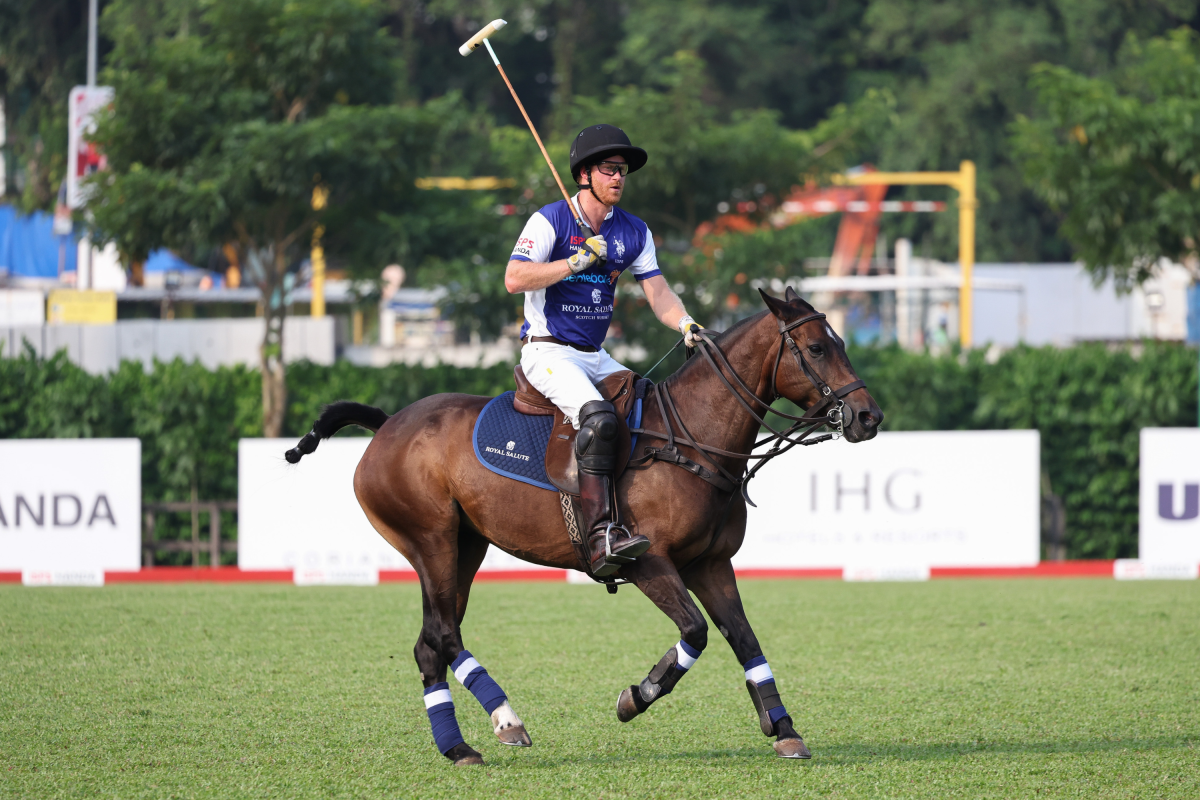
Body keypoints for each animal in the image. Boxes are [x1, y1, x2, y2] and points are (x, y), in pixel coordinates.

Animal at [280, 291, 883, 767]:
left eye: (840, 343)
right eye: (816, 348)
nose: (868, 417)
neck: (691, 440)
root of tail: (386, 426)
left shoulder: (710, 562)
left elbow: (744, 639)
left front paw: (784, 730)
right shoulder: (648, 561)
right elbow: (695, 632)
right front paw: (636, 696)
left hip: (466, 546)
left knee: (431, 642)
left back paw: (458, 747)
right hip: (429, 540)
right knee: (445, 635)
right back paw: (507, 721)